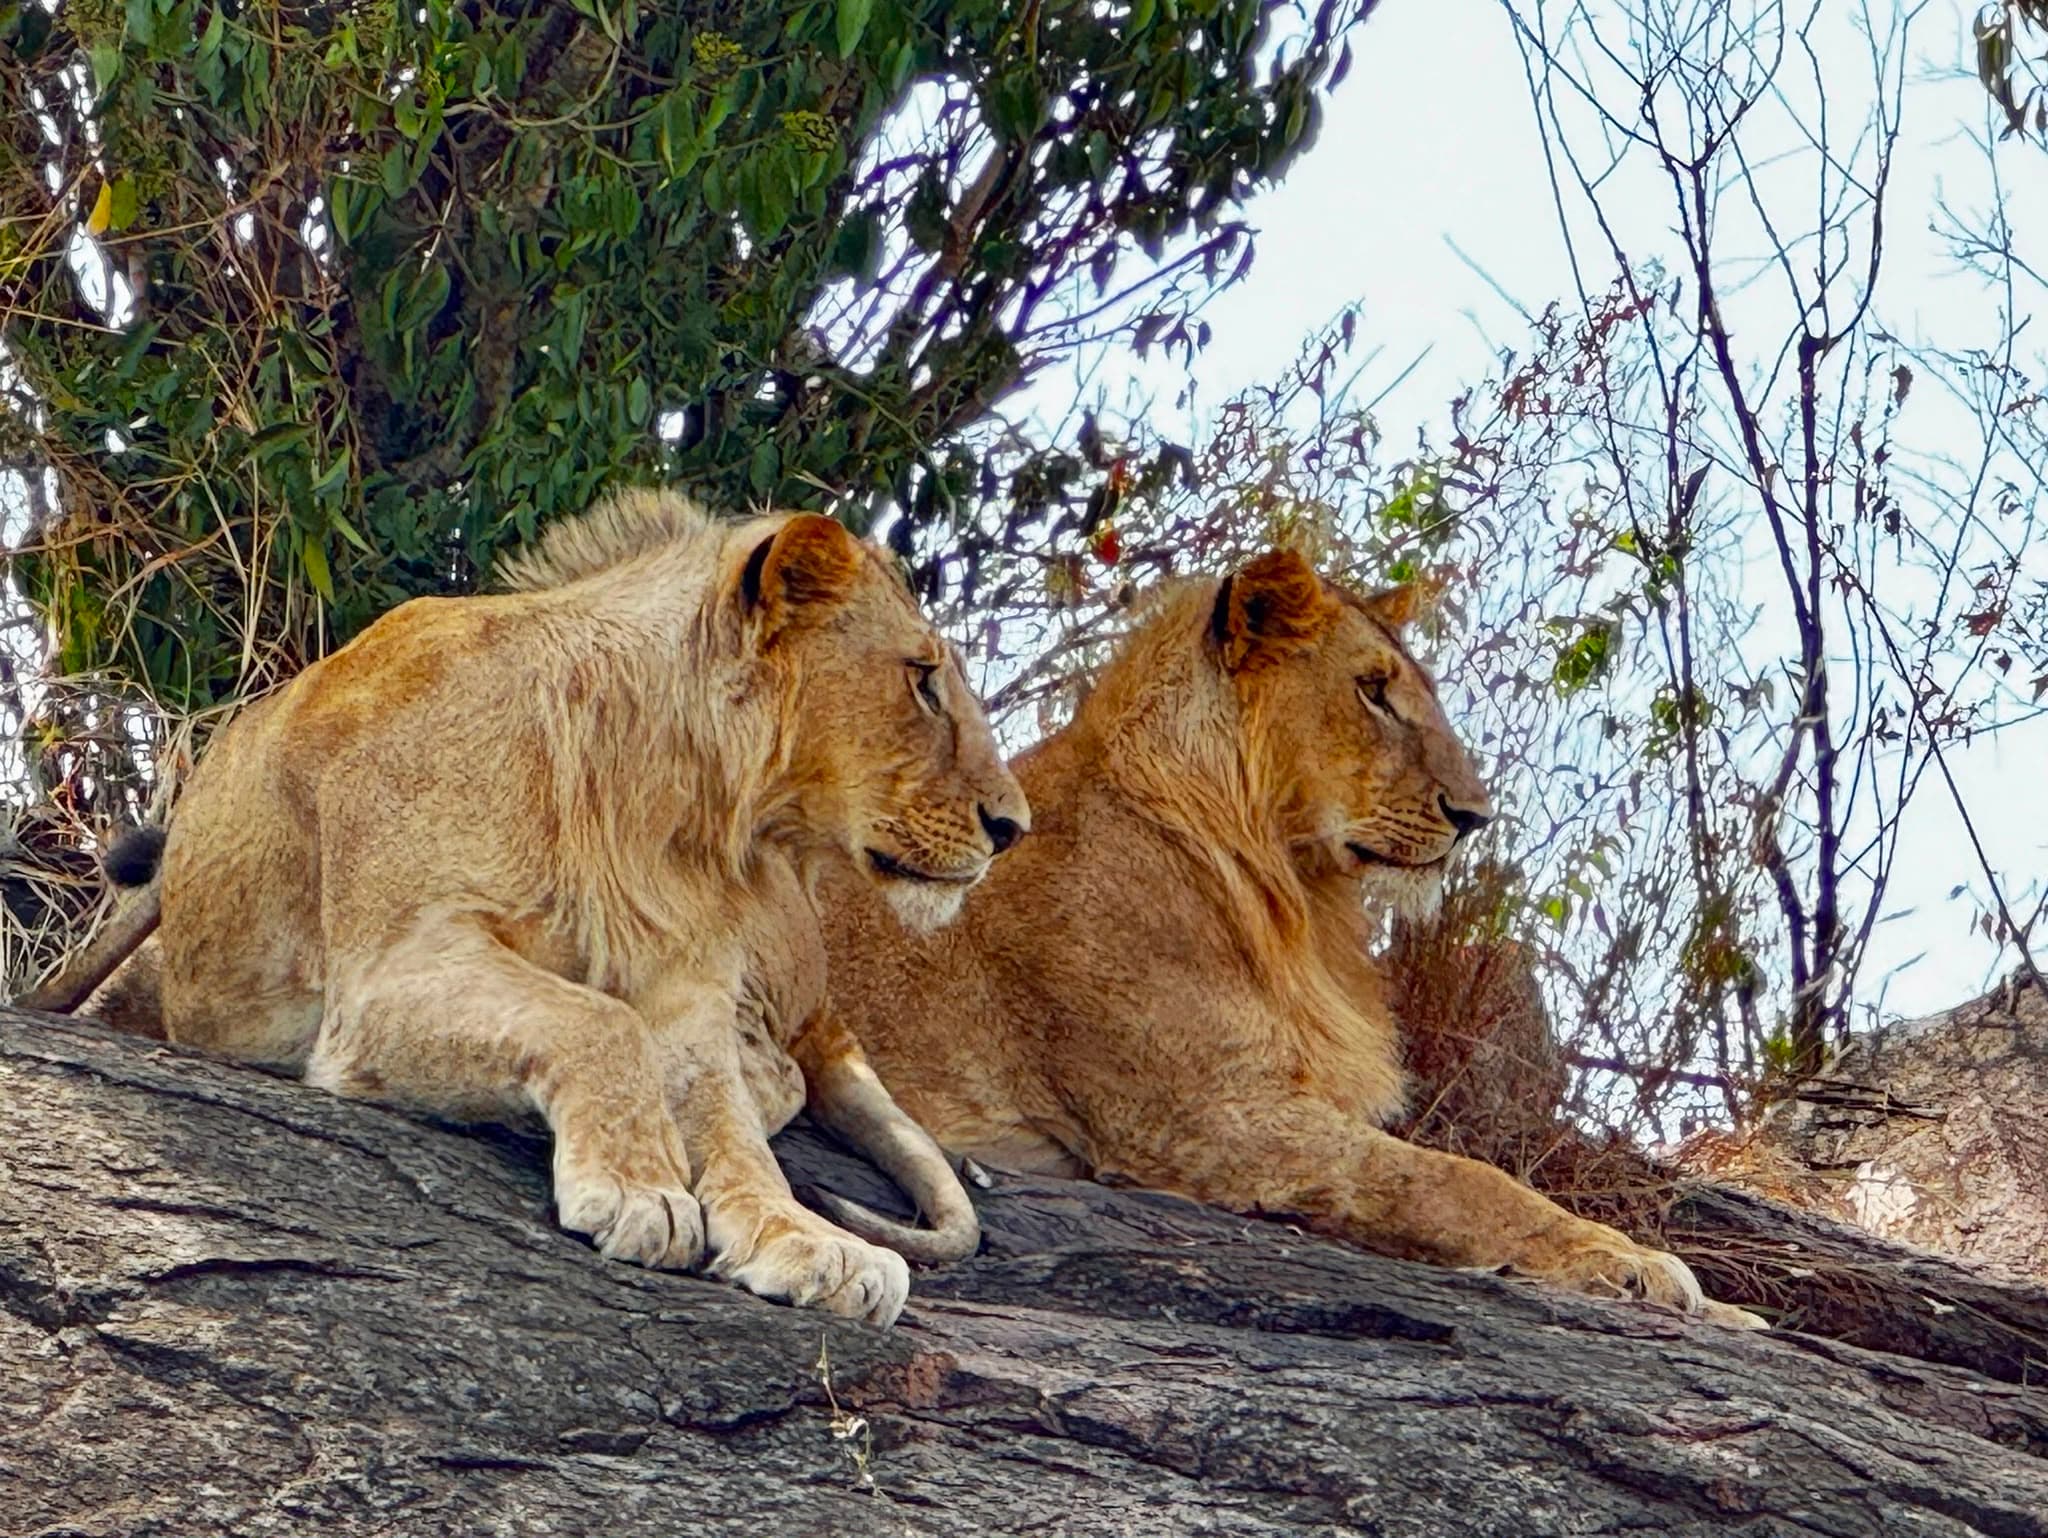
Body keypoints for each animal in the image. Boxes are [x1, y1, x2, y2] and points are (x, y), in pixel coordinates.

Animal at [24, 490, 1031, 1325]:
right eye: (923, 679)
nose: (1015, 827)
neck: (658, 798)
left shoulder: (687, 987)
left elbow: (732, 1132)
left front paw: (805, 1241)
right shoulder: (386, 977)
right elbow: (597, 1023)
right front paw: (641, 1192)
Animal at [814, 548, 1762, 1326]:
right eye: (1373, 690)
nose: (1474, 816)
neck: (1291, 893)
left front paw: (1722, 1308)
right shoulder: (1204, 1120)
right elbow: (1457, 1179)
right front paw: (1630, 1263)